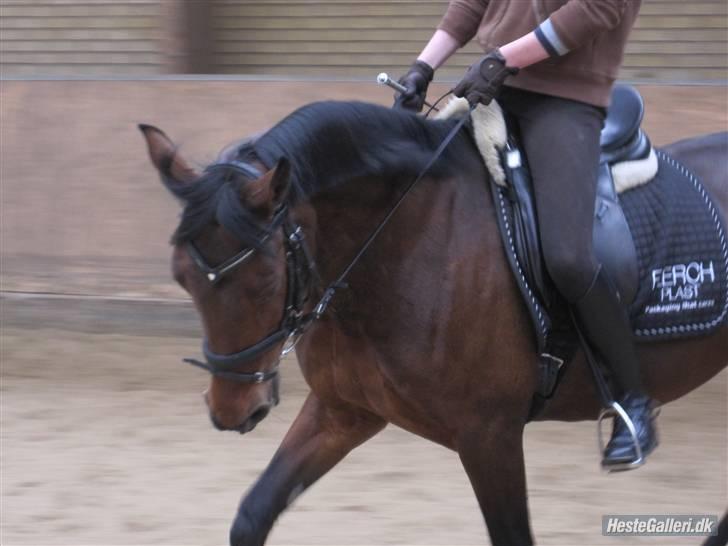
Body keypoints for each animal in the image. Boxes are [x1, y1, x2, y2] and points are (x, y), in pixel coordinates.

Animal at [139, 100, 724, 540]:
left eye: (264, 280)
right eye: (181, 278)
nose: (231, 410)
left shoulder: (490, 436)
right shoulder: (343, 410)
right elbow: (254, 513)